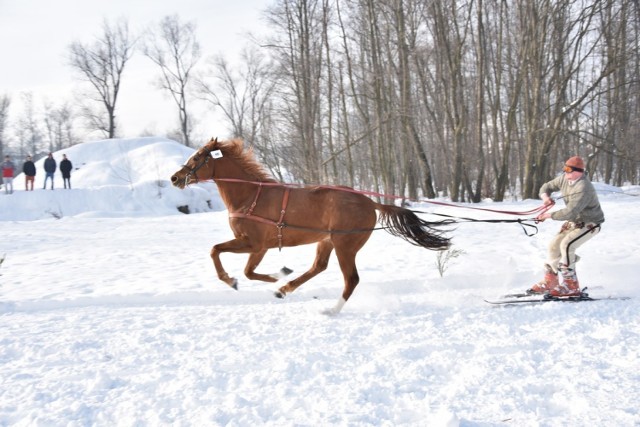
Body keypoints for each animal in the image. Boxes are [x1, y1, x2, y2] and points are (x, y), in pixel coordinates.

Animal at [170, 138, 450, 314]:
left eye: (197, 157)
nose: (174, 178)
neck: (250, 196)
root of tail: (370, 202)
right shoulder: (259, 247)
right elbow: (244, 268)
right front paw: (279, 275)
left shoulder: (254, 243)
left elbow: (218, 252)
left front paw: (233, 281)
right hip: (326, 242)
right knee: (319, 267)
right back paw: (285, 289)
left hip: (345, 246)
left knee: (351, 279)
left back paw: (330, 310)